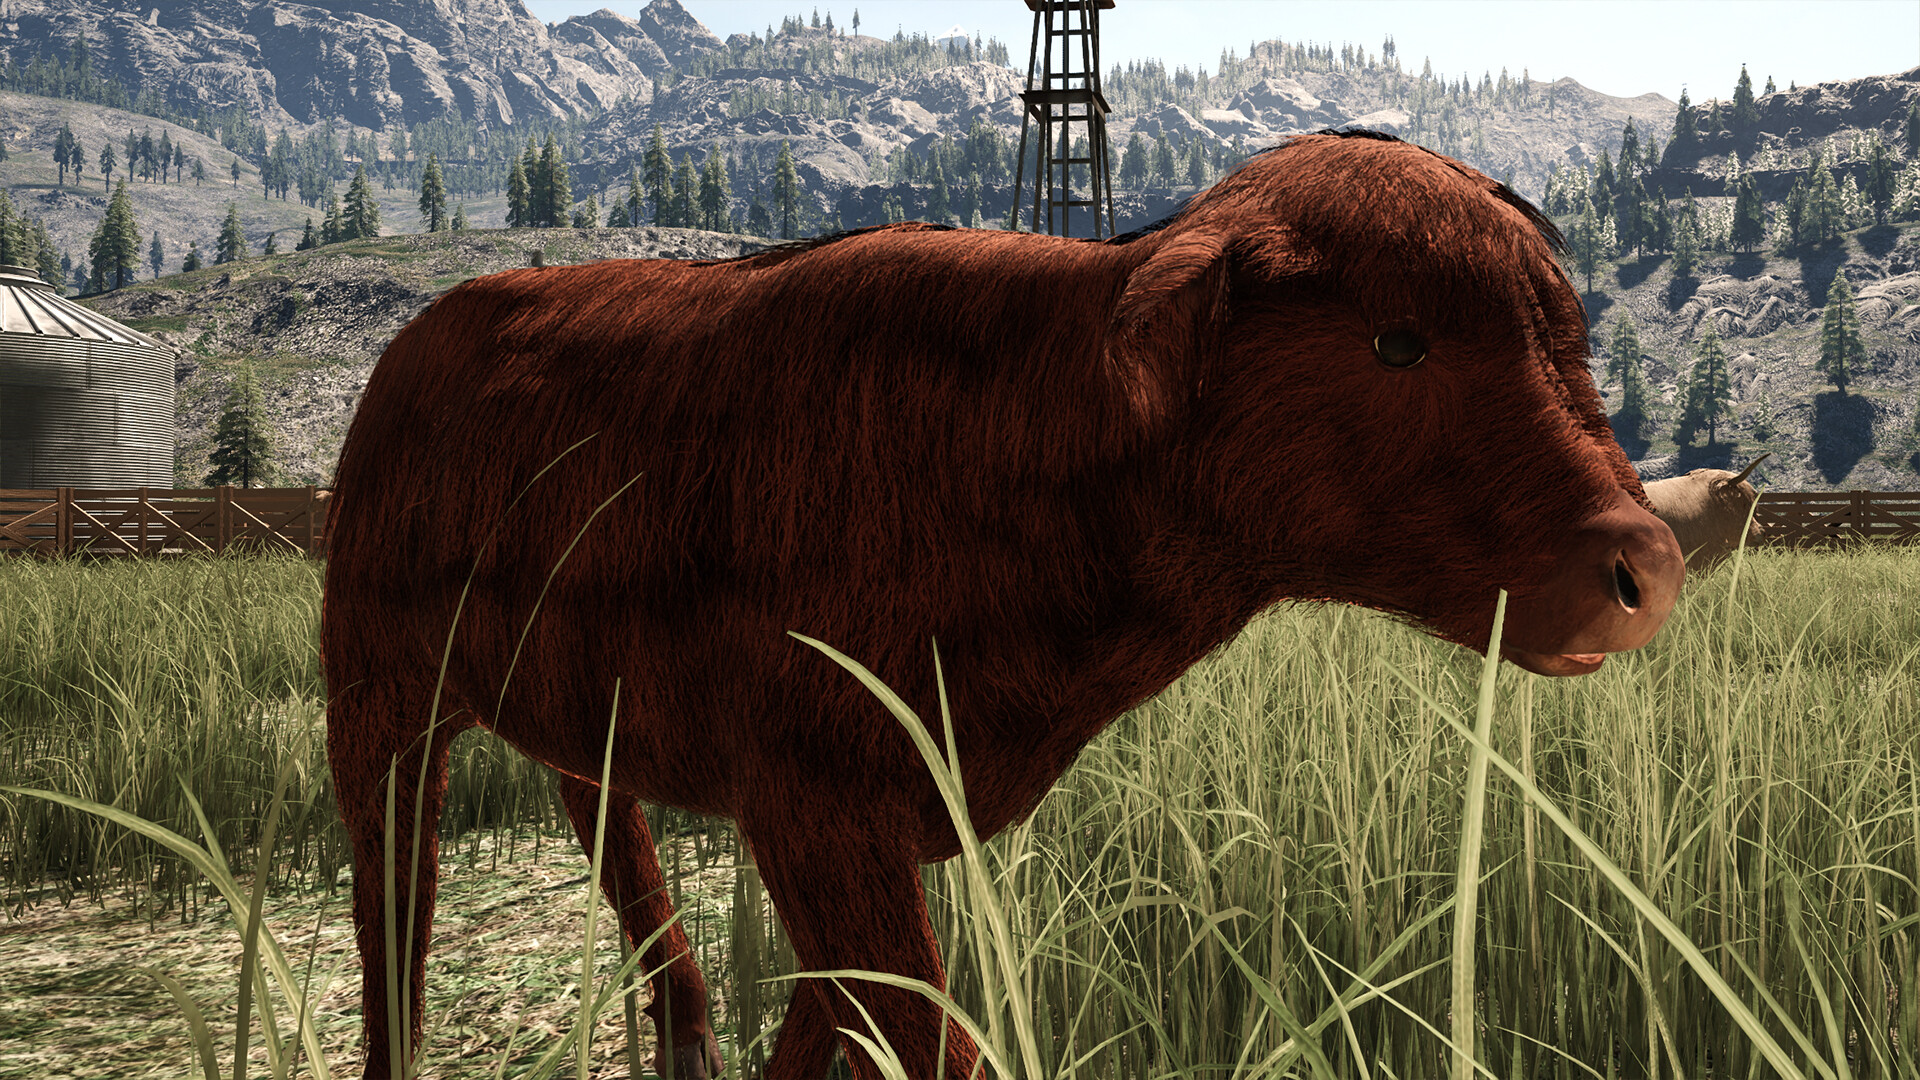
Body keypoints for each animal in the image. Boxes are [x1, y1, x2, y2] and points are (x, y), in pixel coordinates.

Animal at [322, 130, 1685, 1080]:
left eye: (1567, 336)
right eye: (1397, 344)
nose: (1644, 568)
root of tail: (421, 341)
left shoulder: (890, 820)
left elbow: (846, 1014)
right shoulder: (818, 811)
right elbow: (922, 1032)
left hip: (575, 704)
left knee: (608, 825)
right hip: (379, 703)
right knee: (395, 904)